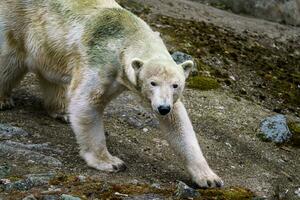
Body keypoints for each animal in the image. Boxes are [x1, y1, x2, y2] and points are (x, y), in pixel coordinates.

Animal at [0, 0, 223, 188]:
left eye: (176, 85)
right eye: (153, 82)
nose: (162, 108)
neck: (127, 36)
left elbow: (178, 122)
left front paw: (209, 178)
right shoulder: (101, 61)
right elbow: (86, 102)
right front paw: (111, 162)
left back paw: (61, 111)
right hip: (19, 23)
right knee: (9, 61)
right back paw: (4, 100)